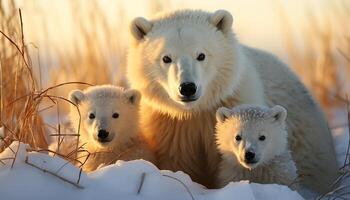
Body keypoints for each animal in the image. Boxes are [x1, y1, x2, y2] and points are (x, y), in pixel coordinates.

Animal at [127, 9, 338, 192]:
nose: (187, 88)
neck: (196, 110)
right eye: (166, 58)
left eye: (201, 55)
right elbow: (178, 162)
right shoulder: (171, 128)